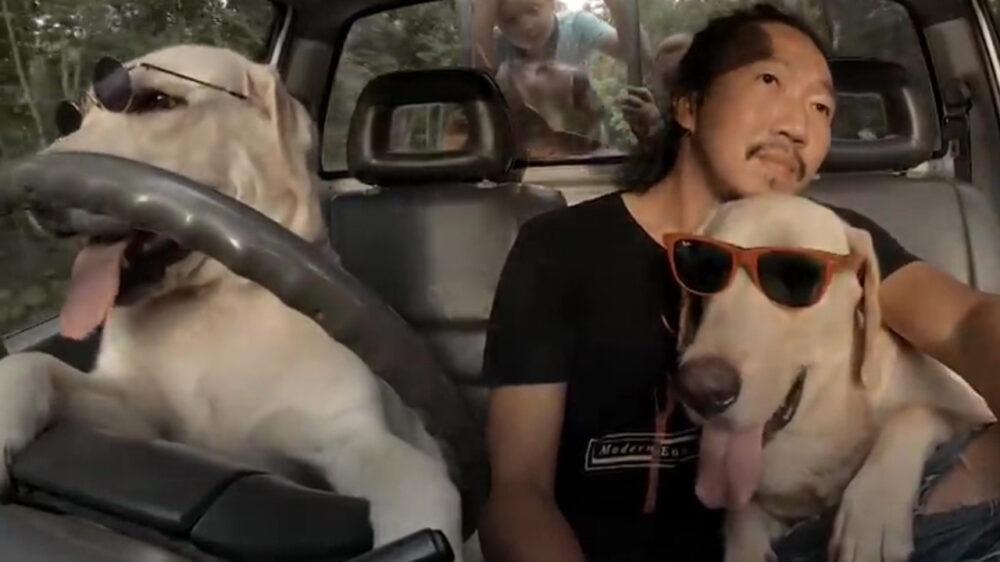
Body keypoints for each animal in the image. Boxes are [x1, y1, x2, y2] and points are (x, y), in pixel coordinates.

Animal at [0, 44, 469, 560]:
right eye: (74, 118)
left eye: (157, 101)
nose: (34, 189)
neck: (213, 309)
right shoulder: (136, 416)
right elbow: (34, 365)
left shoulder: (364, 442)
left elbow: (414, 499)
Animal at [669, 194, 995, 562]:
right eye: (704, 270)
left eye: (797, 276)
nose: (701, 390)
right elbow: (742, 516)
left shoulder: (972, 409)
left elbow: (912, 415)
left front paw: (872, 514)